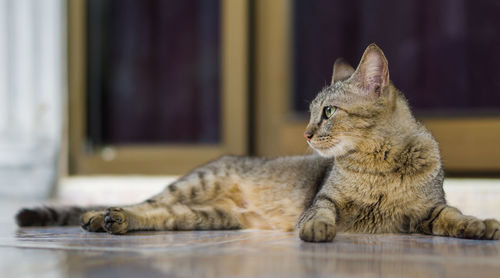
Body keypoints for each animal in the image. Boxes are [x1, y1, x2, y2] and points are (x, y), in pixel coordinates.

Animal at [16, 43, 500, 241]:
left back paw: (114, 221)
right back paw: (99, 215)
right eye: (310, 113)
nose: (306, 132)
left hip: (205, 217)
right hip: (194, 184)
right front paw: (317, 230)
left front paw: (480, 225)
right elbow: (321, 212)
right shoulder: (326, 199)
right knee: (145, 202)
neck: (379, 163)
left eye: (328, 112)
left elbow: (454, 215)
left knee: (157, 215)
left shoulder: (430, 210)